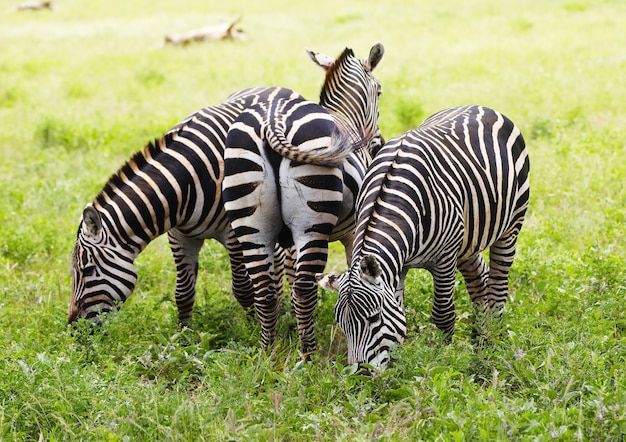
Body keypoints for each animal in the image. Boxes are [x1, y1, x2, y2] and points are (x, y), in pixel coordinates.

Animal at [222, 43, 382, 358]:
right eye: (379, 92)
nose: (378, 143)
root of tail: (272, 120)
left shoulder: (288, 243)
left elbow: (287, 277)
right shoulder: (352, 231)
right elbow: (352, 273)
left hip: (251, 223)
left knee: (265, 290)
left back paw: (268, 354)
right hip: (312, 225)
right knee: (304, 288)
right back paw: (308, 356)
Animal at [316, 104, 528, 370]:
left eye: (374, 318)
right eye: (341, 324)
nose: (361, 373)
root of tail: (481, 107)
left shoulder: (444, 259)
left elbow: (443, 314)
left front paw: (442, 360)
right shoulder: (397, 267)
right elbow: (399, 314)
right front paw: (397, 366)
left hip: (510, 226)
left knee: (498, 286)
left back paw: (492, 342)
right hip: (468, 239)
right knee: (481, 280)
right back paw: (479, 339)